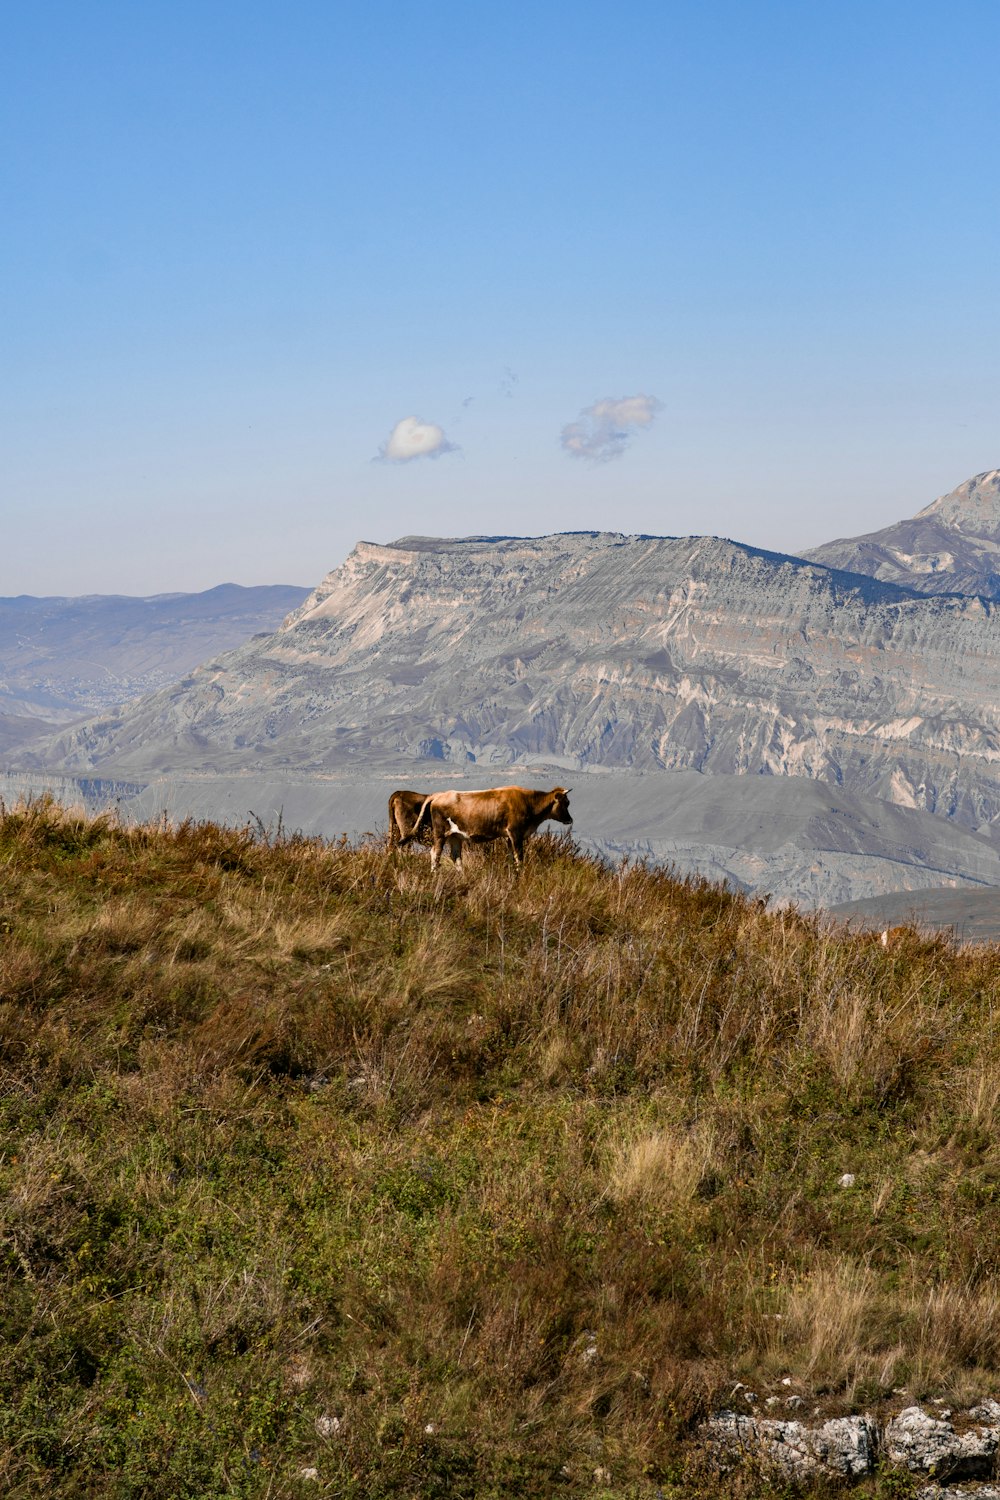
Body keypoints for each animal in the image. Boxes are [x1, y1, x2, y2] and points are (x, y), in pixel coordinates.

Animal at [413, 786, 569, 870]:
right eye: (566, 803)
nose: (570, 819)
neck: (528, 802)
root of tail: (439, 795)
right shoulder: (516, 833)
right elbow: (519, 858)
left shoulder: (508, 837)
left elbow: (511, 857)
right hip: (440, 834)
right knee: (435, 853)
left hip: (455, 836)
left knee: (456, 857)